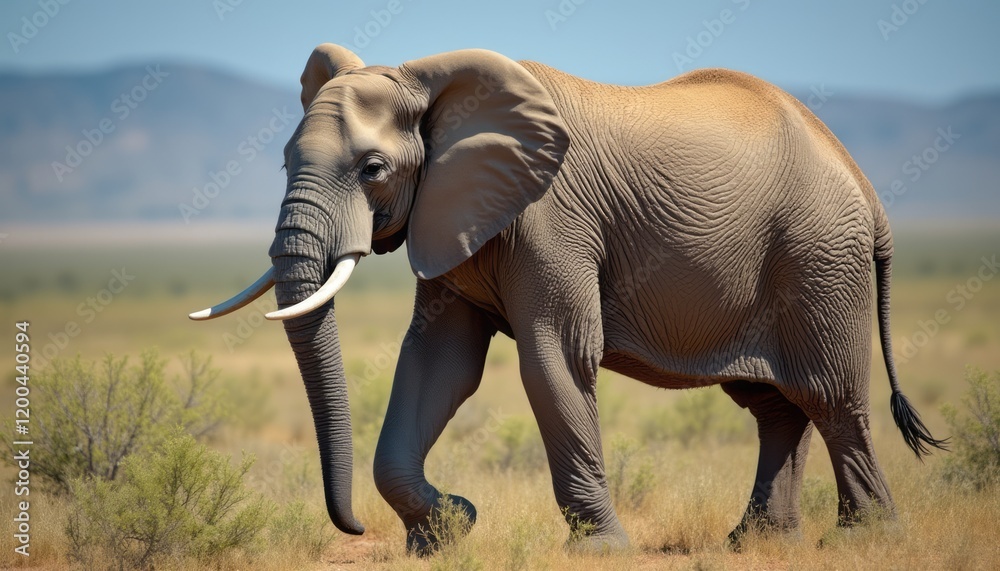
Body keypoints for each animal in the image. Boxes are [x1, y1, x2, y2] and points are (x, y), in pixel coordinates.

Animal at [190, 44, 946, 552]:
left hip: (819, 259)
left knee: (831, 397)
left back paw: (865, 540)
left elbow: (554, 358)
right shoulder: (454, 214)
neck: (434, 83)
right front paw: (449, 530)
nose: (352, 526)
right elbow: (439, 363)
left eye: (372, 169)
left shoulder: (552, 218)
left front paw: (598, 549)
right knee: (775, 406)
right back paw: (756, 542)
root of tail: (863, 184)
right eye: (284, 161)